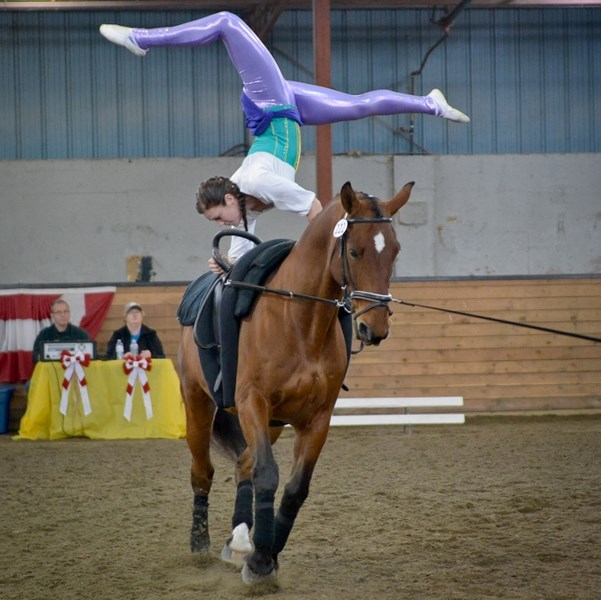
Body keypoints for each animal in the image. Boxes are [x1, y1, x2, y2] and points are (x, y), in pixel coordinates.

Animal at [177, 180, 412, 584]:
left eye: (394, 251)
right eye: (354, 250)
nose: (375, 328)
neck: (301, 322)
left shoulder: (317, 419)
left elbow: (294, 489)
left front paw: (266, 555)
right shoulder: (252, 402)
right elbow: (268, 475)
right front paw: (259, 562)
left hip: (272, 424)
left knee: (243, 464)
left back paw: (239, 539)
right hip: (199, 404)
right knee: (203, 472)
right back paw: (200, 544)